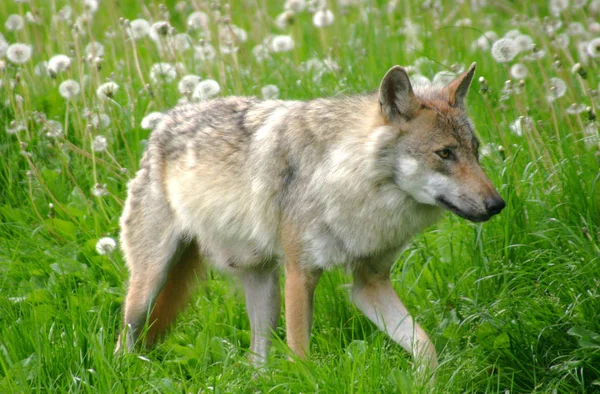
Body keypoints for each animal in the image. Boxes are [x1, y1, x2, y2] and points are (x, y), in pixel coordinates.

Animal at [115, 62, 504, 370]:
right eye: (445, 153)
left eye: (475, 151)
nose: (498, 205)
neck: (351, 182)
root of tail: (161, 126)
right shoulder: (300, 273)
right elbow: (301, 357)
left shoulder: (370, 284)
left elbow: (425, 345)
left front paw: (426, 381)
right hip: (148, 288)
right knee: (123, 342)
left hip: (265, 291)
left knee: (256, 365)